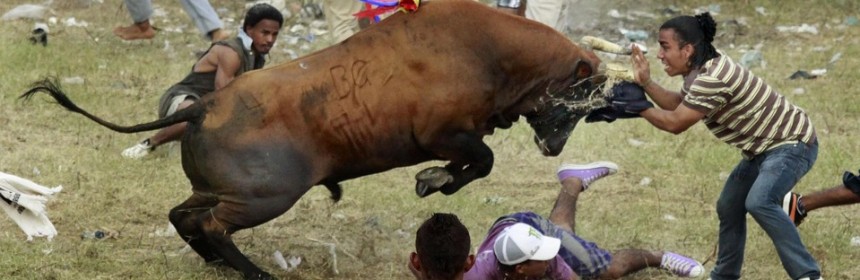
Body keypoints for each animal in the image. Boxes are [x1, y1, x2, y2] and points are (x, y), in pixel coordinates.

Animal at [23, 0, 608, 278]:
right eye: (581, 94)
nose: (554, 149)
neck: (488, 49)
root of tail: (206, 106)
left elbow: (476, 165)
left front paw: (432, 181)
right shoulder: (446, 134)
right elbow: (479, 163)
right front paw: (431, 180)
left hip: (218, 190)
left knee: (183, 215)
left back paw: (217, 263)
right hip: (264, 198)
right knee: (210, 224)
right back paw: (255, 273)